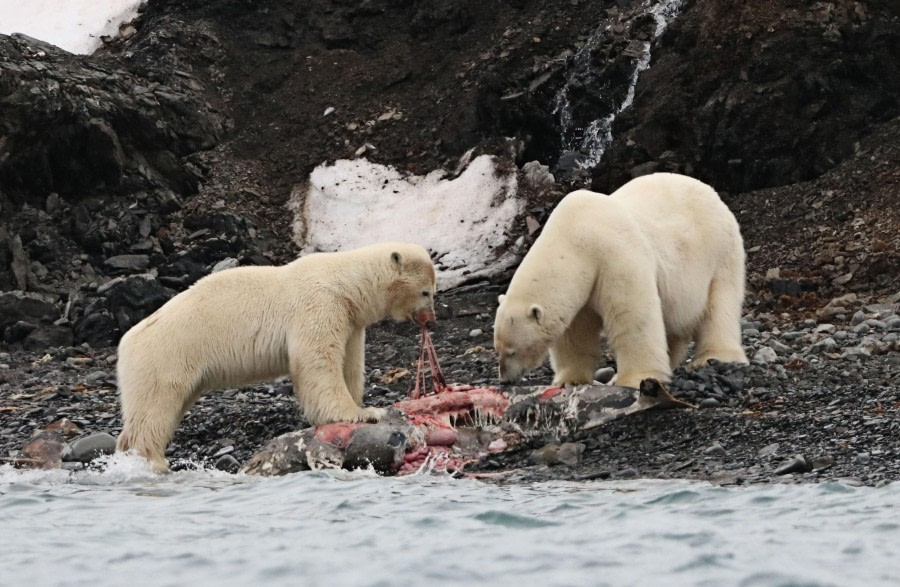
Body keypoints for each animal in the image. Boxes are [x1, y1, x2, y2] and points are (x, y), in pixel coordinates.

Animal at [114, 241, 438, 476]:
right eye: (426, 292)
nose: (430, 318)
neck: (344, 281)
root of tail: (126, 342)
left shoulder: (350, 320)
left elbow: (350, 363)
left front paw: (360, 403)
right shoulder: (319, 304)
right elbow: (318, 361)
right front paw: (363, 413)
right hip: (167, 355)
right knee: (155, 409)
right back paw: (153, 462)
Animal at [492, 175, 744, 392]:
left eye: (512, 352)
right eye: (497, 349)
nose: (505, 380)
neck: (575, 239)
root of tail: (712, 192)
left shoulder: (613, 258)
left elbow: (632, 316)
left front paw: (634, 378)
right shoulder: (583, 288)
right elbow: (575, 333)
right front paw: (569, 380)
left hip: (720, 253)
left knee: (719, 306)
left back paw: (715, 356)